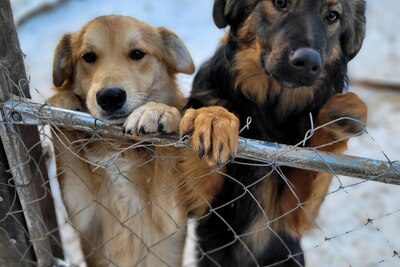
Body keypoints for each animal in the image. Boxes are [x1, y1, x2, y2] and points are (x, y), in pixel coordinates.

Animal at [47, 15, 225, 266]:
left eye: (137, 53)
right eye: (88, 57)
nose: (110, 97)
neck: (119, 147)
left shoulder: (170, 215)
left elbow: (167, 153)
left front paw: (158, 110)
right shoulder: (81, 207)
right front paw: (61, 101)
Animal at [181, 0, 368, 266]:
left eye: (332, 16)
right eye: (280, 3)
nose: (307, 62)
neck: (269, 108)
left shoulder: (290, 214)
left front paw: (347, 108)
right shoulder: (199, 203)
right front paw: (213, 117)